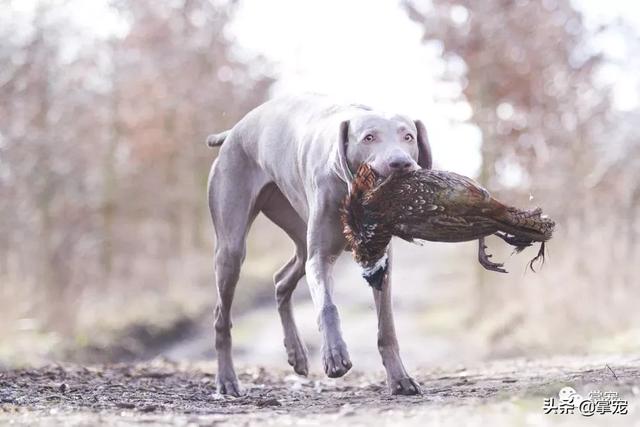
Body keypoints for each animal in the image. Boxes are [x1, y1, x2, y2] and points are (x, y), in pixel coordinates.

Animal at [208, 95, 432, 396]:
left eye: (408, 136)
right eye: (369, 138)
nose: (401, 163)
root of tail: (233, 132)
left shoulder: (379, 263)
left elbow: (387, 326)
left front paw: (400, 379)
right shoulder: (321, 257)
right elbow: (327, 307)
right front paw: (335, 356)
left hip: (296, 230)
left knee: (281, 281)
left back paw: (297, 354)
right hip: (232, 247)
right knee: (222, 314)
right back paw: (227, 379)